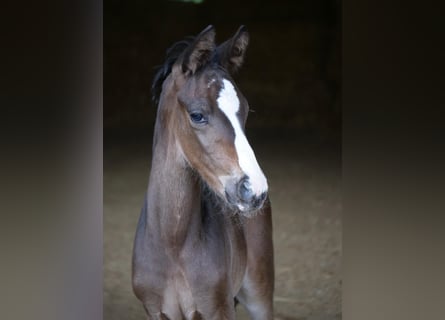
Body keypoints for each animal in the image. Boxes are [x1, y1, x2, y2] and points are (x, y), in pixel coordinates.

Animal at [130, 25, 272, 320]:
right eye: (197, 115)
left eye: (245, 111)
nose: (255, 190)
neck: (172, 243)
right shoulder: (154, 311)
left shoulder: (218, 308)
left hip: (259, 291)